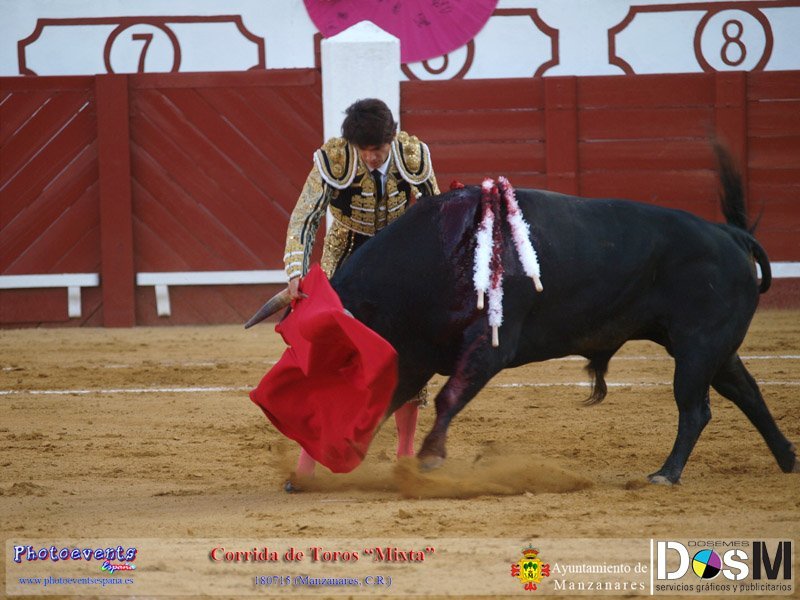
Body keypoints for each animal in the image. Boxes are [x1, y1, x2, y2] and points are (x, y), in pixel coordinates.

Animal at [248, 146, 797, 484]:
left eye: (334, 353)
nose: (276, 405)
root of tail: (729, 234)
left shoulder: (488, 347)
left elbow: (446, 398)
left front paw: (427, 460)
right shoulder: (413, 357)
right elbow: (385, 404)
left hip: (698, 345)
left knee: (696, 408)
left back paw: (666, 473)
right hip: (714, 347)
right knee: (746, 392)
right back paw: (788, 459)